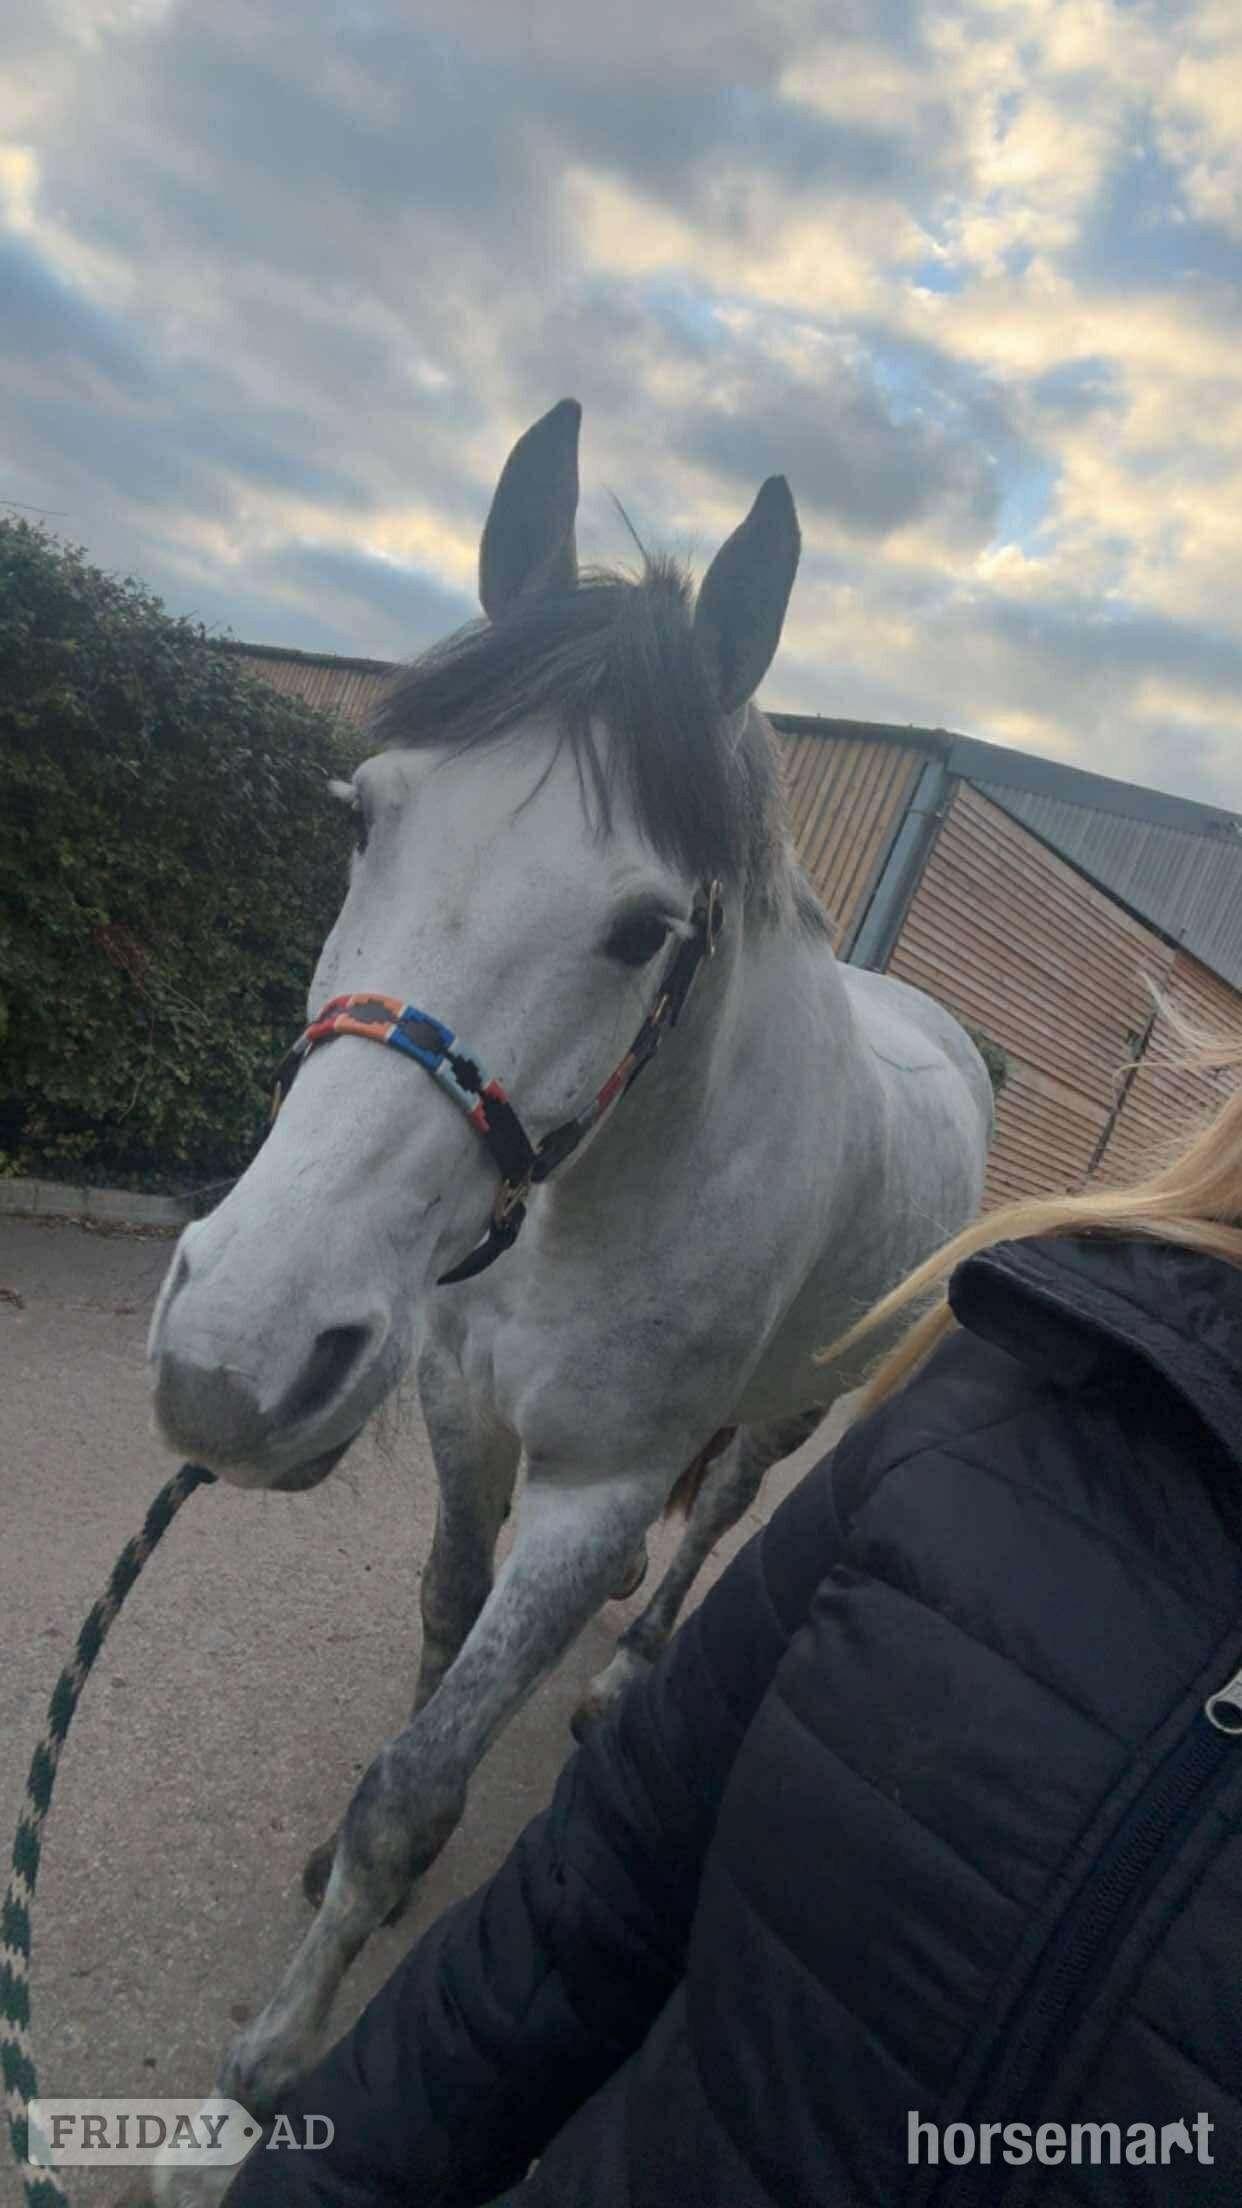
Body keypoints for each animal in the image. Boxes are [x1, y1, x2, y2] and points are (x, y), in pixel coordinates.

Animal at [146, 398, 993, 2146]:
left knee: (723, 1503)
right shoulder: (460, 1413)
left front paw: (272, 2062)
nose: (234, 1357)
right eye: (360, 815)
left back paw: (629, 1668)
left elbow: (416, 1787)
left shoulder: (598, 1486)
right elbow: (444, 1614)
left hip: (798, 1398)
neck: (596, 1192)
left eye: (640, 929)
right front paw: (338, 1868)